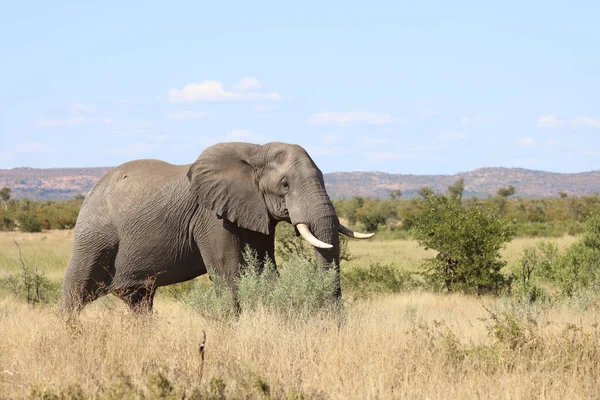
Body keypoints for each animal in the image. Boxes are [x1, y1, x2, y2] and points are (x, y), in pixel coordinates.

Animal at [59, 142, 370, 314]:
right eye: (285, 185)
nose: (336, 319)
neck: (255, 152)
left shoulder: (255, 211)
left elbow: (265, 269)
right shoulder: (211, 216)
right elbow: (228, 272)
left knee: (139, 302)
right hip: (94, 236)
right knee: (74, 295)